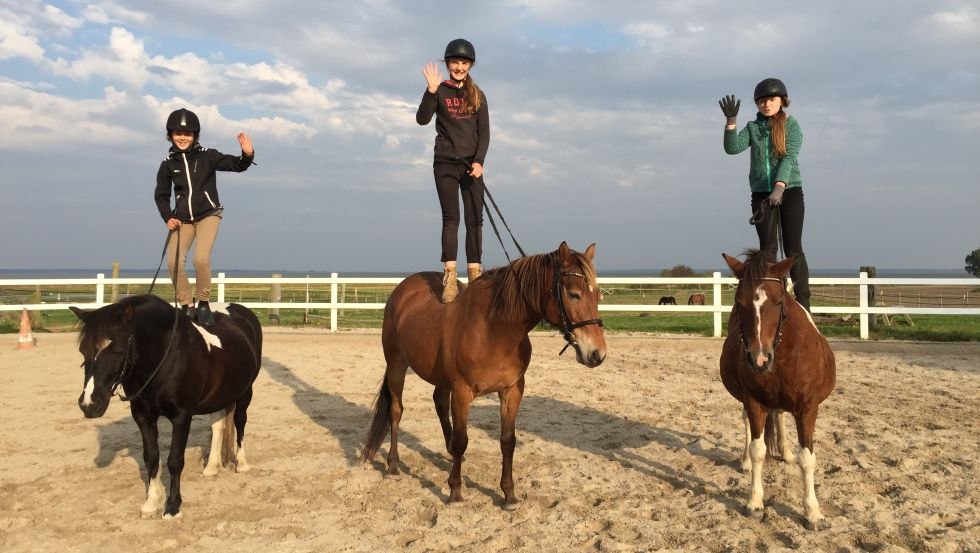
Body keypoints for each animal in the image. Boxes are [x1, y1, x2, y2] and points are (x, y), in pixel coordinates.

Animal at [69, 294, 262, 516]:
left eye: (118, 350)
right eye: (83, 350)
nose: (89, 404)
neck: (163, 356)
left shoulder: (182, 417)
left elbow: (175, 461)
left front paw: (172, 507)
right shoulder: (142, 416)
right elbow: (151, 458)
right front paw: (151, 503)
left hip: (245, 391)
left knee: (240, 421)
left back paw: (242, 463)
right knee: (218, 424)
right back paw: (211, 467)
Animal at [360, 239, 604, 506]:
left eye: (598, 295)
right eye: (574, 294)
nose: (597, 353)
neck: (493, 330)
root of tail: (402, 289)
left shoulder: (512, 391)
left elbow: (507, 440)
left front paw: (508, 494)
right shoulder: (462, 392)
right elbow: (462, 440)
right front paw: (455, 491)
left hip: (441, 378)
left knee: (439, 403)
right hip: (396, 363)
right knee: (396, 411)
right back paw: (393, 466)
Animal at [720, 248, 836, 528]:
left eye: (779, 302)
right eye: (739, 303)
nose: (759, 359)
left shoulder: (807, 408)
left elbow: (808, 458)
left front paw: (813, 512)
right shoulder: (753, 402)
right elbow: (758, 450)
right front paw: (754, 501)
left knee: (781, 416)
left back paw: (785, 452)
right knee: (748, 424)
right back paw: (745, 461)